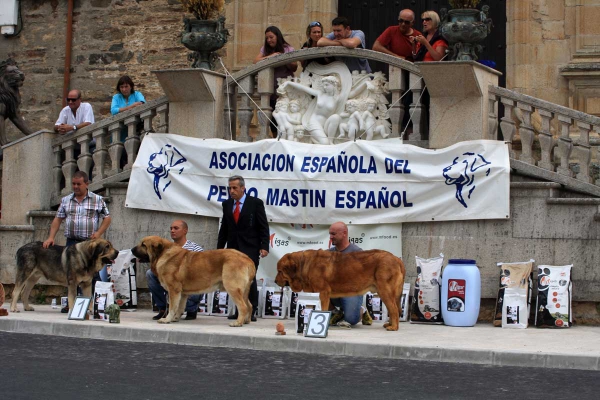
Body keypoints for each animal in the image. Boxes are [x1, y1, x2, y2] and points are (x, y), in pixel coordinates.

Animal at [276, 250, 408, 332]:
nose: (275, 281)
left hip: (385, 291)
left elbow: (323, 309)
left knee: (394, 309)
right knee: (394, 309)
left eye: (280, 271)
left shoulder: (323, 292)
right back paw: (390, 324)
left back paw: (393, 327)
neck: (304, 265)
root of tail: (397, 259)